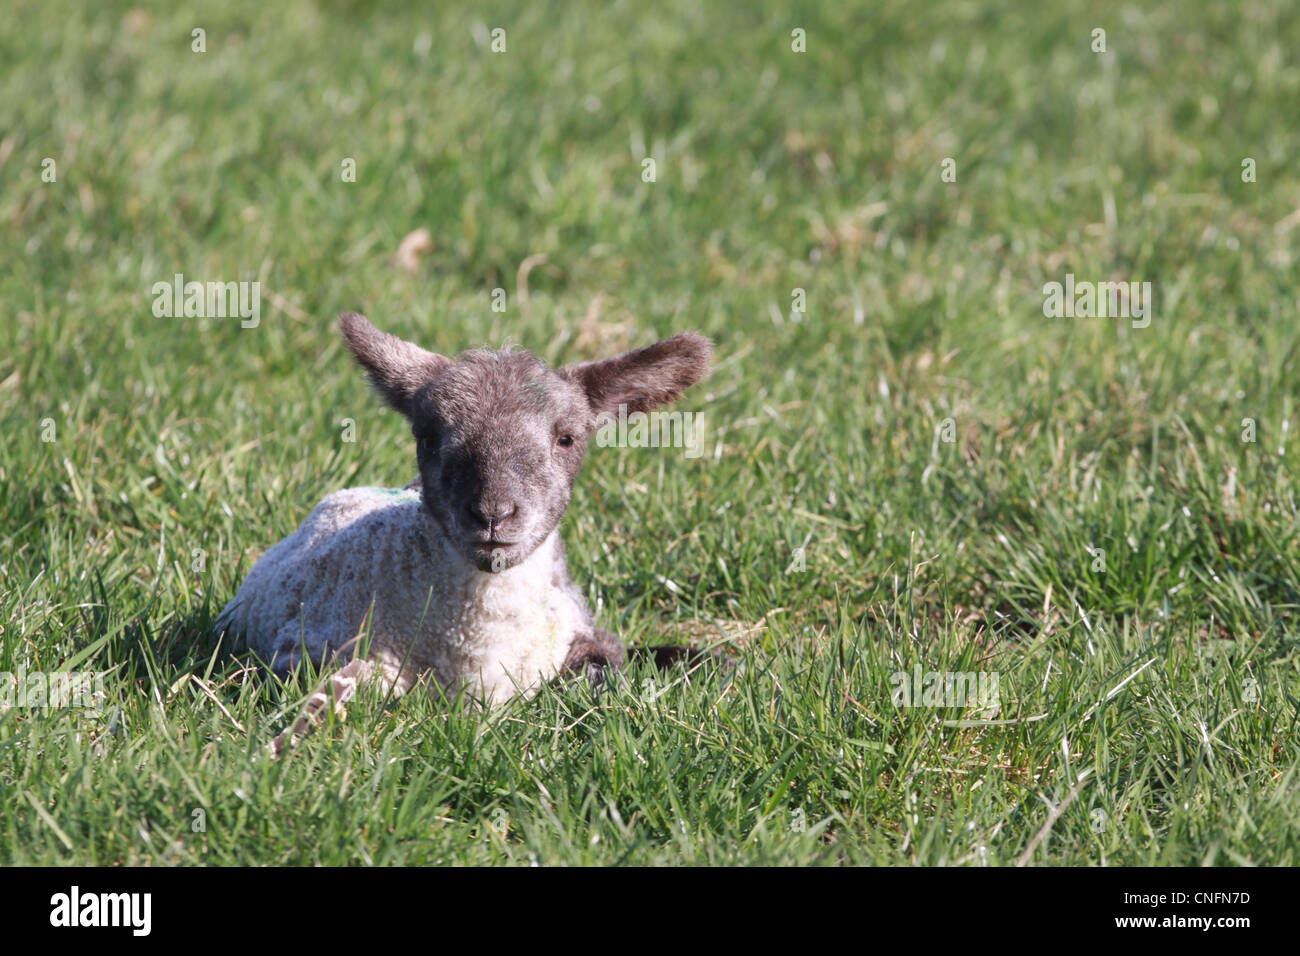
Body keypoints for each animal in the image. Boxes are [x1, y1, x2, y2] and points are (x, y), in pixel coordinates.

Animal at [217, 314, 717, 754]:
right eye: (427, 436)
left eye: (567, 439)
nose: (493, 514)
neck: (478, 650)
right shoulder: (306, 653)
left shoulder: (585, 637)